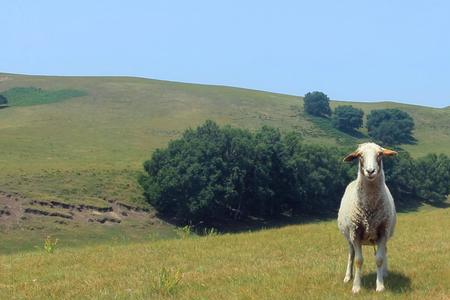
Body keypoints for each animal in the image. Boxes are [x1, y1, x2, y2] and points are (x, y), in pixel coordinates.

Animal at [338, 143, 398, 292]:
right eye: (360, 155)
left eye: (380, 154)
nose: (370, 171)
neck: (369, 210)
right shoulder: (355, 233)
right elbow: (358, 261)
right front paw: (356, 287)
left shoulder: (383, 231)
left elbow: (379, 259)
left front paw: (380, 285)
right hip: (349, 237)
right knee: (351, 254)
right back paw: (348, 276)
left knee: (384, 251)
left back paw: (385, 273)